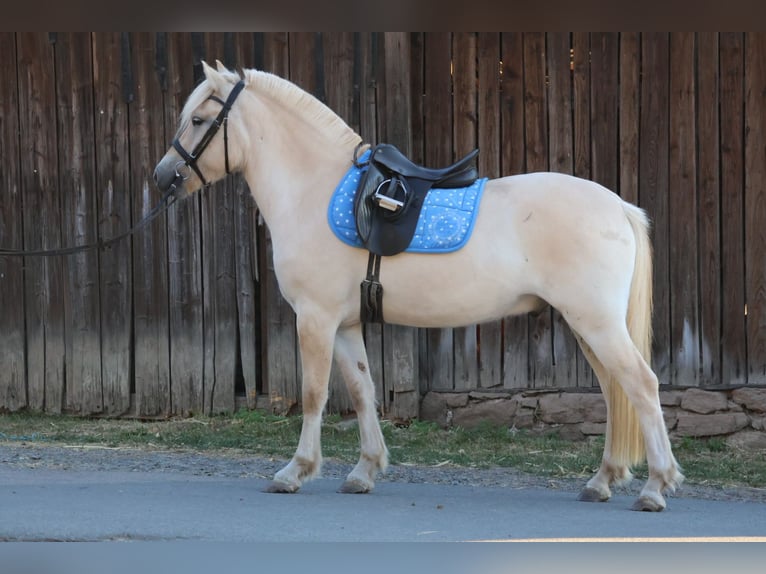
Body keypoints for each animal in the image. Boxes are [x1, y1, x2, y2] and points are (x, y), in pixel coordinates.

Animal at [154, 60, 684, 512]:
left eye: (199, 119)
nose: (162, 177)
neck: (314, 191)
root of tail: (618, 206)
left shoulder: (316, 319)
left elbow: (314, 394)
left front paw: (295, 471)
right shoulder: (345, 325)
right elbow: (362, 390)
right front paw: (364, 471)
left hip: (595, 323)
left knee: (641, 385)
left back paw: (655, 487)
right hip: (588, 326)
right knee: (615, 391)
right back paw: (603, 480)